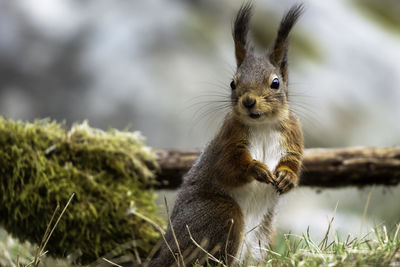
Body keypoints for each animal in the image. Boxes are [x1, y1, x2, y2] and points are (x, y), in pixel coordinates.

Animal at [146, 2, 304, 267]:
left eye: (276, 83)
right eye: (233, 83)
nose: (248, 101)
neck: (263, 125)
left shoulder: (294, 138)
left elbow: (294, 163)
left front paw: (287, 176)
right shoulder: (227, 140)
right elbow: (227, 167)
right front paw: (256, 168)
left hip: (264, 236)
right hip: (219, 213)